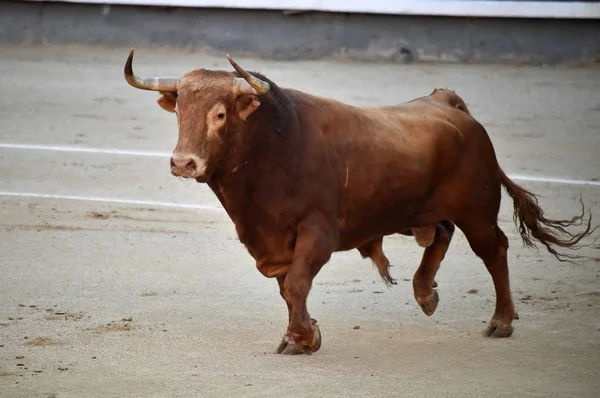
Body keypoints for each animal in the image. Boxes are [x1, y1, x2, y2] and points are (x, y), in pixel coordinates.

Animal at [124, 48, 592, 356]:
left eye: (220, 114)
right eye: (179, 111)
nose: (183, 162)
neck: (272, 147)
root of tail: (449, 102)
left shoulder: (319, 232)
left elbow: (297, 283)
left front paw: (303, 338)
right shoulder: (269, 242)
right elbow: (286, 287)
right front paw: (301, 333)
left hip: (477, 211)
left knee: (494, 250)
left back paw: (500, 322)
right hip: (414, 211)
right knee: (440, 233)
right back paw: (425, 293)